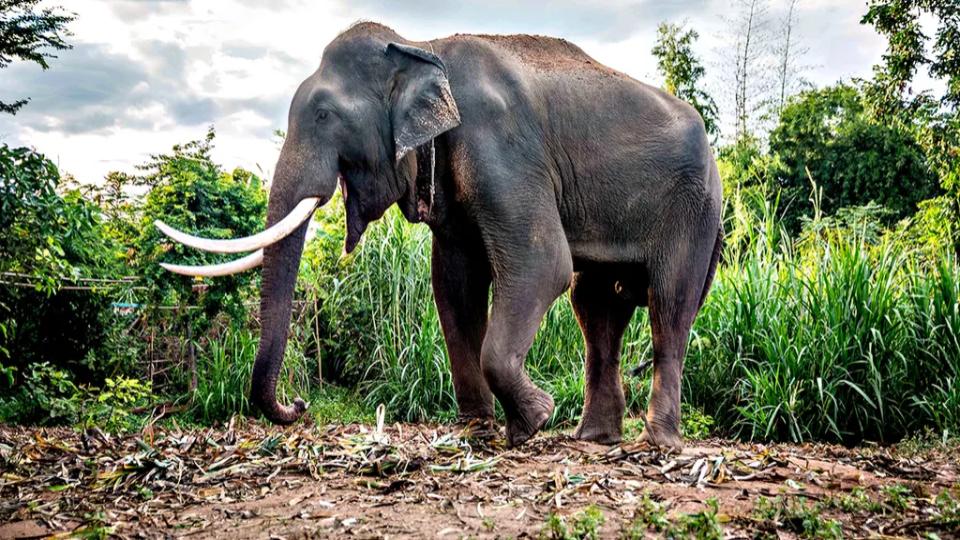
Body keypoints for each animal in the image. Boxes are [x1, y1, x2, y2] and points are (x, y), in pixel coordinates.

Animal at [157, 22, 723, 449]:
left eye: (323, 114)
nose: (297, 404)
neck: (422, 48)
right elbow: (454, 286)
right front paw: (478, 430)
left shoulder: (501, 145)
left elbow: (543, 265)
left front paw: (533, 422)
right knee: (597, 306)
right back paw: (595, 439)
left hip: (694, 208)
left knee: (667, 305)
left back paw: (657, 442)